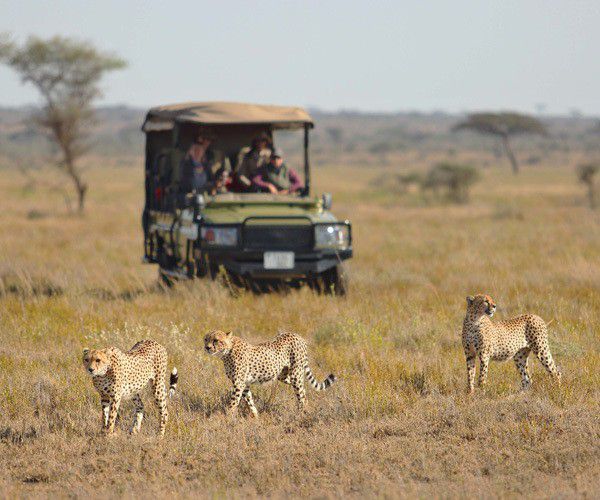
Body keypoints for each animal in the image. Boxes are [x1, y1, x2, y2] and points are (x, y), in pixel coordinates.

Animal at [205, 330, 338, 416]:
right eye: (206, 339)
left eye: (216, 340)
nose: (207, 347)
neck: (227, 352)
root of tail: (296, 335)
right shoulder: (245, 384)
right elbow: (249, 400)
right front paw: (256, 417)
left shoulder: (239, 383)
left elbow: (233, 402)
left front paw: (227, 417)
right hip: (284, 375)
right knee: (303, 391)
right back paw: (305, 408)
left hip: (296, 373)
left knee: (301, 393)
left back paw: (300, 415)